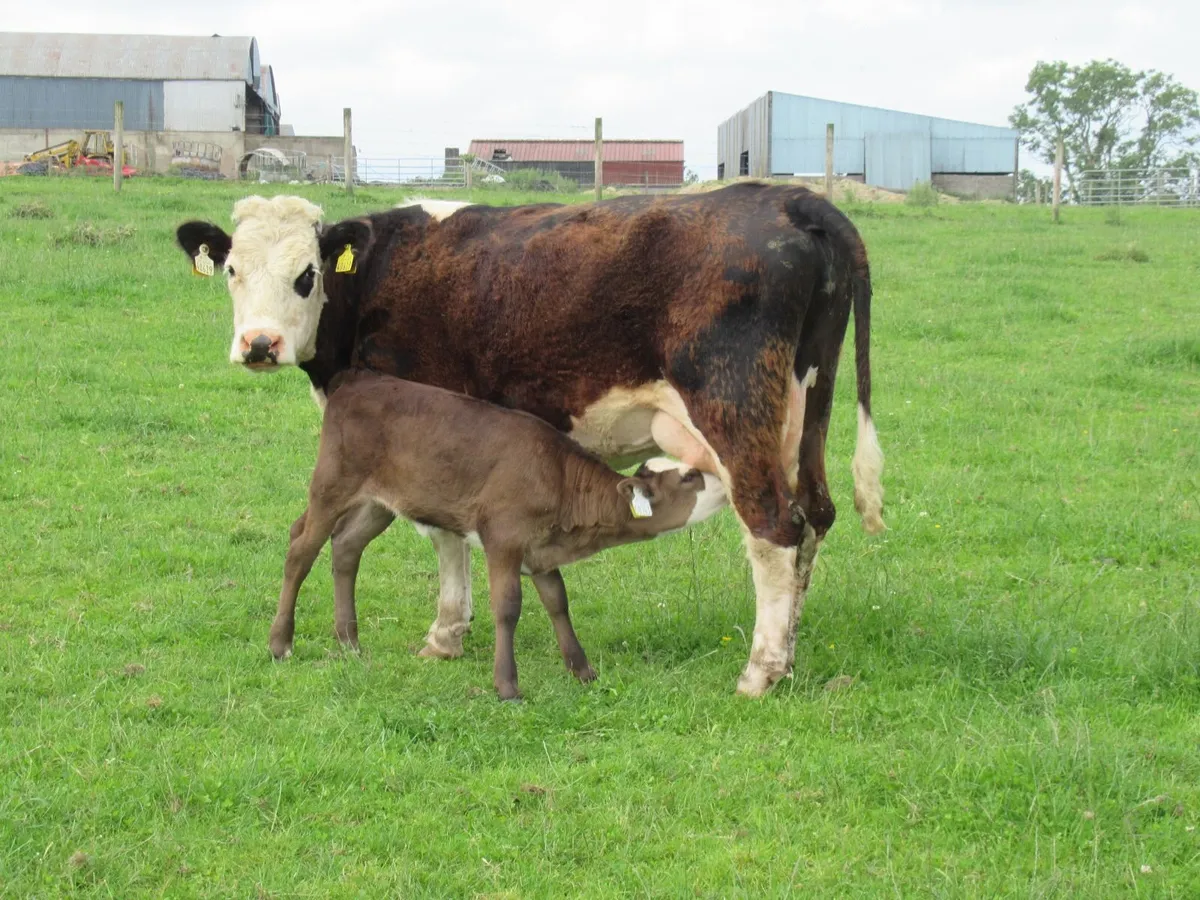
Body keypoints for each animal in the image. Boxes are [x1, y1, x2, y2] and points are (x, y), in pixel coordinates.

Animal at [273, 369, 728, 700]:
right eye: (689, 477)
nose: (723, 480)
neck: (561, 484)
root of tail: (355, 381)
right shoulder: (504, 539)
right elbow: (507, 607)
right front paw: (507, 686)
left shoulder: (541, 550)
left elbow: (558, 602)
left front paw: (582, 670)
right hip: (332, 484)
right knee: (300, 548)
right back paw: (281, 643)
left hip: (378, 502)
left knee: (346, 545)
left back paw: (349, 642)